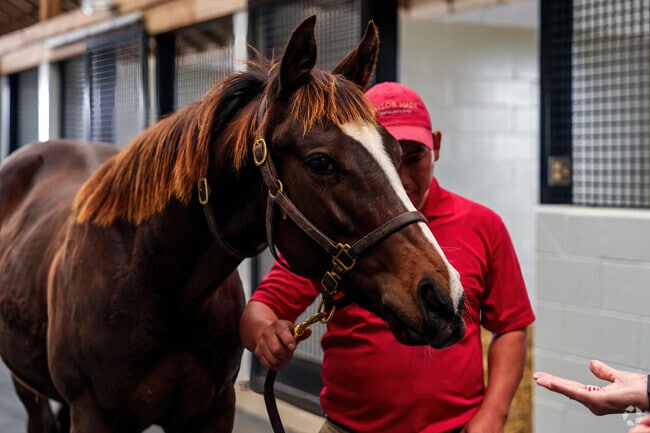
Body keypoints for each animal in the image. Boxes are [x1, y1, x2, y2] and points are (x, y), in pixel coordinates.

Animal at [0, 15, 465, 433]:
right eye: (320, 162)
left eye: (397, 152)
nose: (444, 297)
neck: (155, 279)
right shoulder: (94, 415)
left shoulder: (212, 411)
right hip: (29, 387)